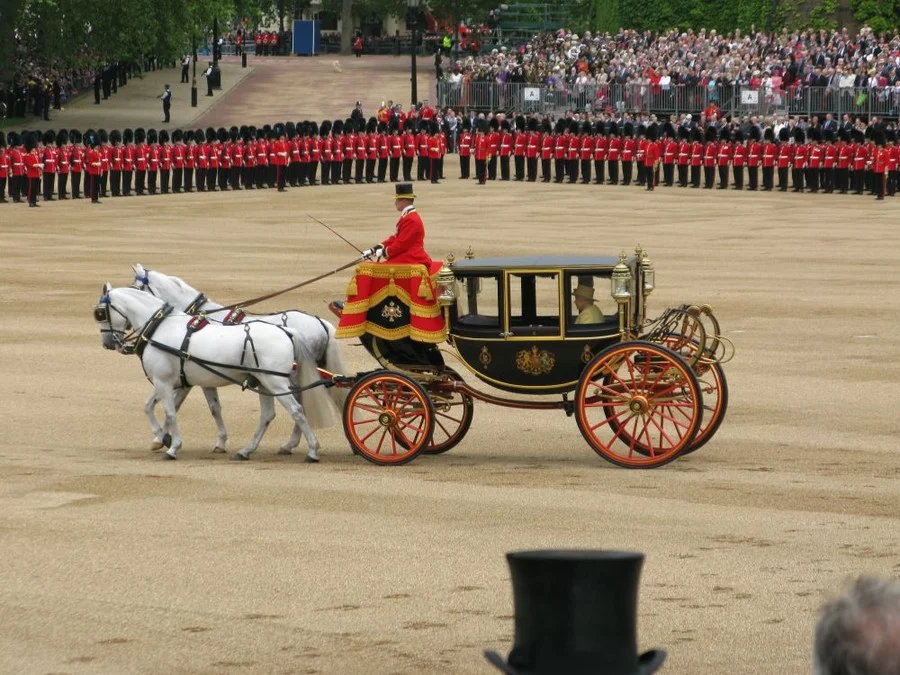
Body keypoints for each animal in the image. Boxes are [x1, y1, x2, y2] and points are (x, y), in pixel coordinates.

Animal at [95, 282, 326, 462]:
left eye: (100, 313)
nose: (107, 343)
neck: (160, 328)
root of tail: (287, 331)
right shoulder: (174, 382)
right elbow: (149, 407)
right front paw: (162, 438)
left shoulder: (164, 382)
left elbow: (170, 412)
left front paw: (172, 447)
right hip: (264, 383)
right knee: (268, 415)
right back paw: (246, 451)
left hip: (275, 382)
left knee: (297, 410)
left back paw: (312, 450)